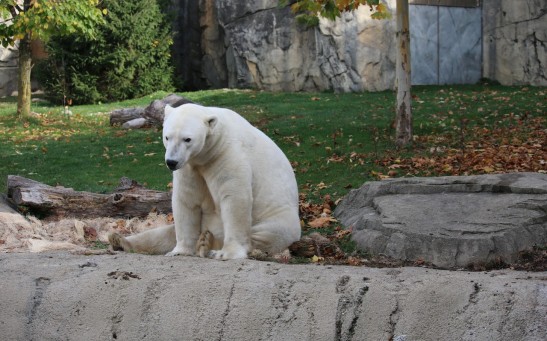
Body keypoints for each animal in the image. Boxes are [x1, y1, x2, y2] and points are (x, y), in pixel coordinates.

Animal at [109, 102, 302, 258]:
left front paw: (227, 253)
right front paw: (180, 251)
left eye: (187, 139)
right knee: (162, 234)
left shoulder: (227, 155)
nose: (171, 162)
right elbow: (186, 201)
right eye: (167, 136)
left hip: (279, 218)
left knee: (266, 234)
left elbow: (235, 198)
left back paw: (207, 244)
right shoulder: (190, 167)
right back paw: (119, 240)